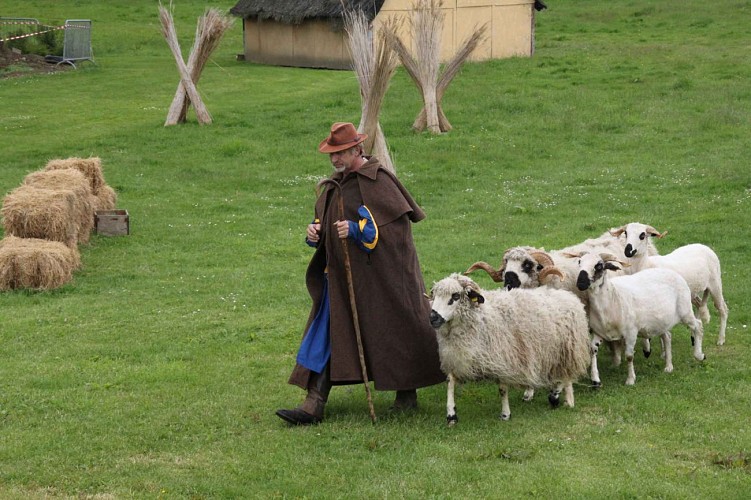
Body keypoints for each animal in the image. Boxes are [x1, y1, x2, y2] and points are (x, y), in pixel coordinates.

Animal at [426, 274, 592, 426]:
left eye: (455, 296)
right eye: (435, 295)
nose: (433, 318)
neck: (482, 318)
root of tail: (567, 295)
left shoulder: (505, 359)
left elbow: (502, 390)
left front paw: (505, 414)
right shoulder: (457, 359)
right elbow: (450, 382)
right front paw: (451, 415)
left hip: (568, 350)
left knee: (566, 376)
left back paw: (563, 399)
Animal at [572, 254, 708, 386]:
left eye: (599, 265)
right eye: (579, 262)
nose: (580, 283)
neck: (612, 297)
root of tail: (673, 273)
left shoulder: (631, 332)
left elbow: (629, 356)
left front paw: (630, 380)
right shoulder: (598, 332)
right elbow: (592, 351)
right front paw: (595, 379)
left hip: (685, 311)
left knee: (698, 326)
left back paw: (699, 355)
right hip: (660, 321)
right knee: (667, 336)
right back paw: (669, 366)